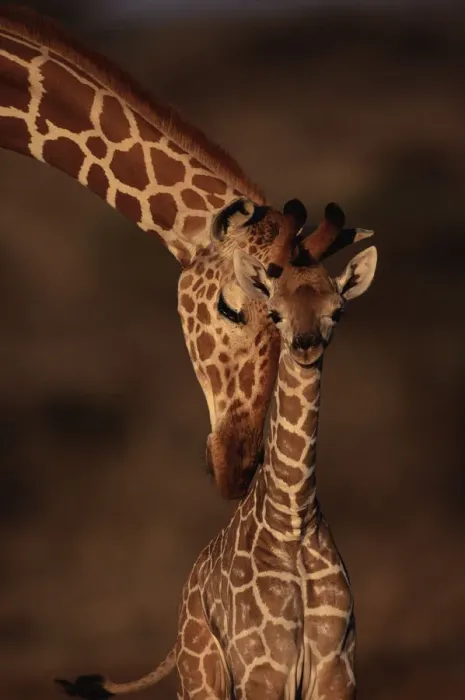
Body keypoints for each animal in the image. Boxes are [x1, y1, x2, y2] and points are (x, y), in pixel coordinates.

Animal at [56, 203, 377, 699]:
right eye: (276, 313)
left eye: (337, 311)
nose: (305, 345)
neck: (293, 518)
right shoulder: (263, 671)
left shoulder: (336, 671)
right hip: (201, 674)